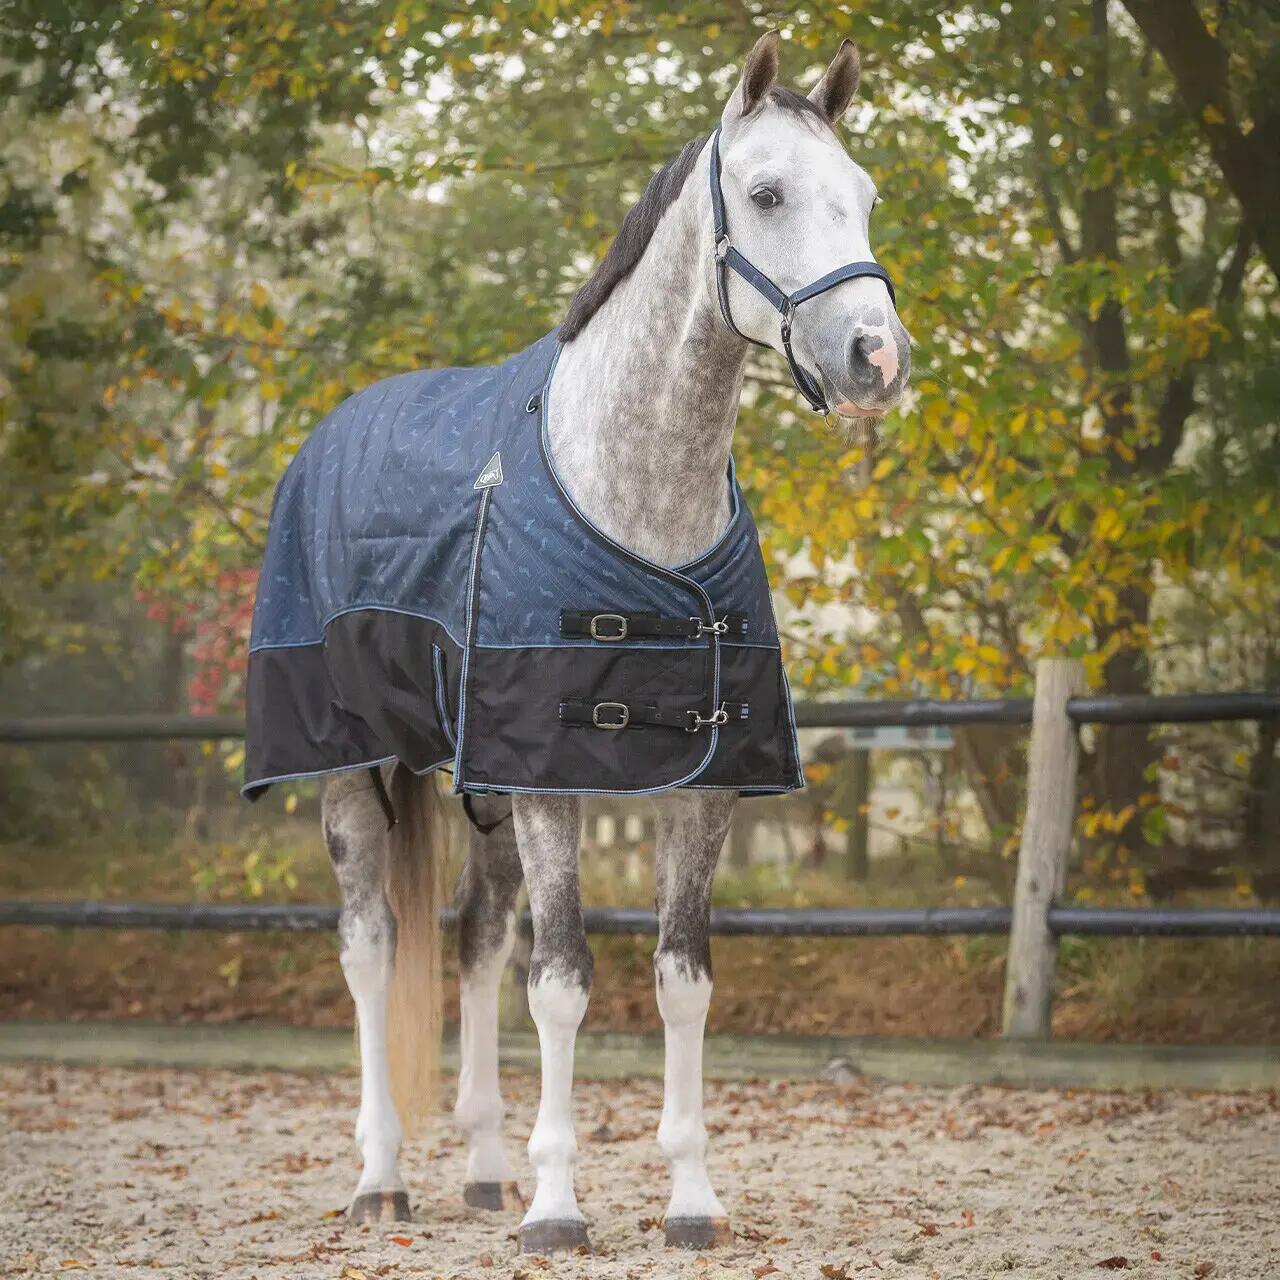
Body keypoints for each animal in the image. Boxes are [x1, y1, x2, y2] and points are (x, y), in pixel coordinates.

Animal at [284, 32, 909, 1253]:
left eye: (862, 196)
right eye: (766, 193)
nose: (874, 356)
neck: (636, 494)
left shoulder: (699, 784)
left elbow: (680, 978)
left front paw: (689, 1199)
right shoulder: (546, 779)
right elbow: (564, 981)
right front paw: (557, 1207)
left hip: (474, 786)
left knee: (475, 940)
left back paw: (481, 1170)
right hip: (352, 770)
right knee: (371, 947)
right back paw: (382, 1177)